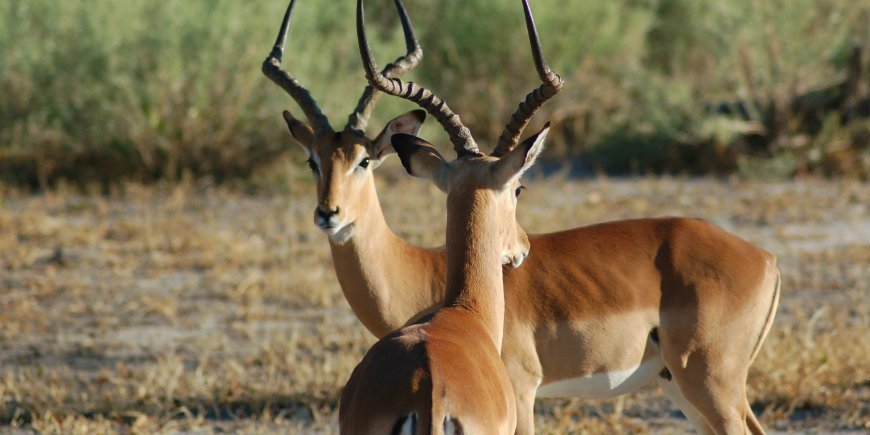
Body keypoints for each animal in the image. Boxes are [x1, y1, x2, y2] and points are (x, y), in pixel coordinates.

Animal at [265, 0, 781, 433]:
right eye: (312, 161)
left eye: (364, 160)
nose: (328, 214)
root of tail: (765, 258)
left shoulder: (524, 392)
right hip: (685, 384)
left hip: (708, 382)